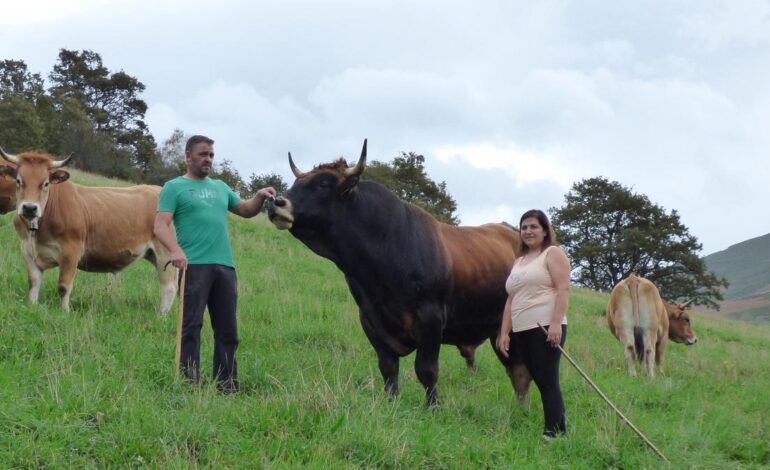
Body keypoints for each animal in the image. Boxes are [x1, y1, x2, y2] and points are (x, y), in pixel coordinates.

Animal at [268, 139, 532, 404]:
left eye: (323, 184)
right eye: (295, 183)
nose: (275, 202)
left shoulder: (431, 318)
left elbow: (426, 370)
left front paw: (433, 407)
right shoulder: (370, 320)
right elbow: (388, 368)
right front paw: (391, 403)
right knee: (518, 372)